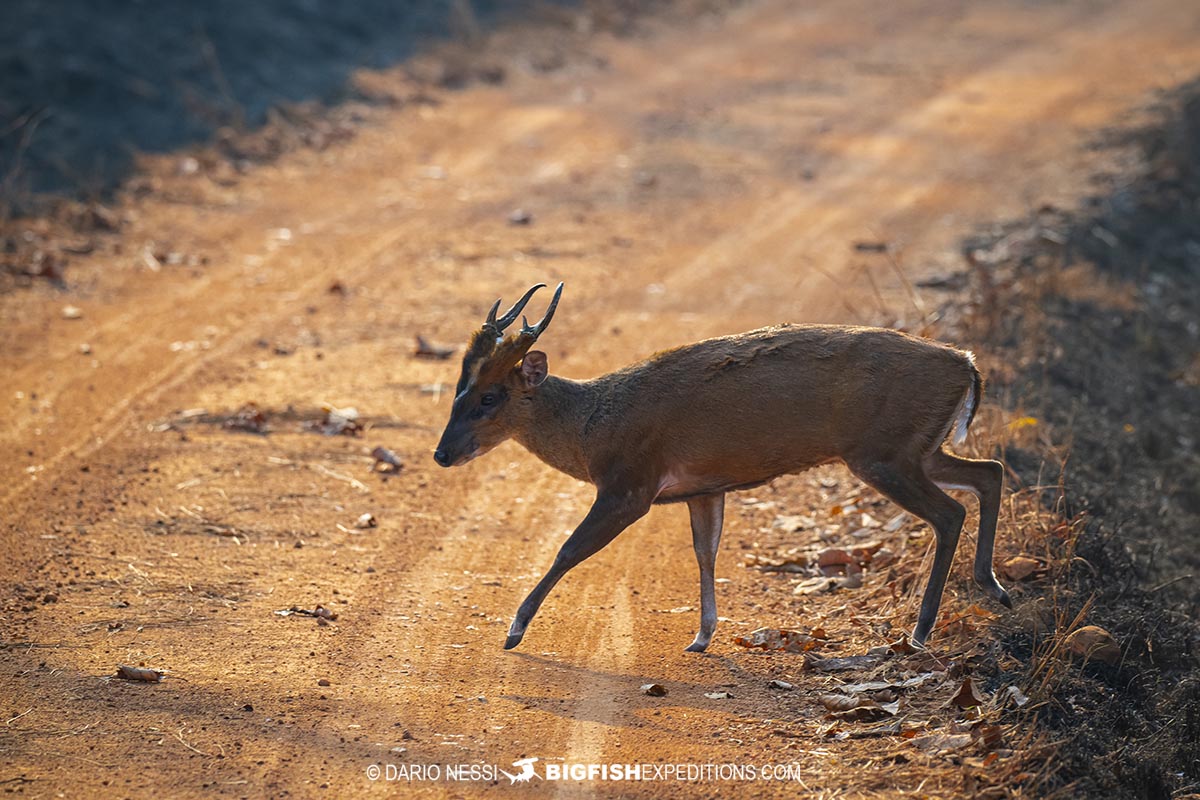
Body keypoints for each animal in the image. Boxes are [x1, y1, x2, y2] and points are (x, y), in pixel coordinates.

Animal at [433, 282, 1010, 653]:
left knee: (949, 512)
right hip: (917, 448)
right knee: (990, 470)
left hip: (883, 452)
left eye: (490, 396)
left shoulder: (631, 484)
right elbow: (705, 553)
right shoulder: (703, 487)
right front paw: (702, 636)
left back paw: (922, 630)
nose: (442, 453)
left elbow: (569, 549)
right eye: (457, 387)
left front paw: (513, 632)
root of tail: (967, 363)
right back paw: (993, 588)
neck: (593, 427)